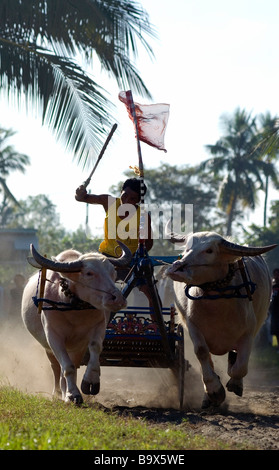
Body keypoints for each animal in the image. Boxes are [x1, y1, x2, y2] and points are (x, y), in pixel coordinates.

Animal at [21, 242, 131, 404]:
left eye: (113, 272)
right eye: (89, 273)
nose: (118, 299)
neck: (74, 310)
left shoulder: (96, 330)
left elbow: (95, 348)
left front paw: (90, 382)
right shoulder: (53, 337)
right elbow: (67, 367)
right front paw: (72, 394)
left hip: (75, 348)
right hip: (48, 347)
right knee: (56, 367)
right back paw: (58, 392)